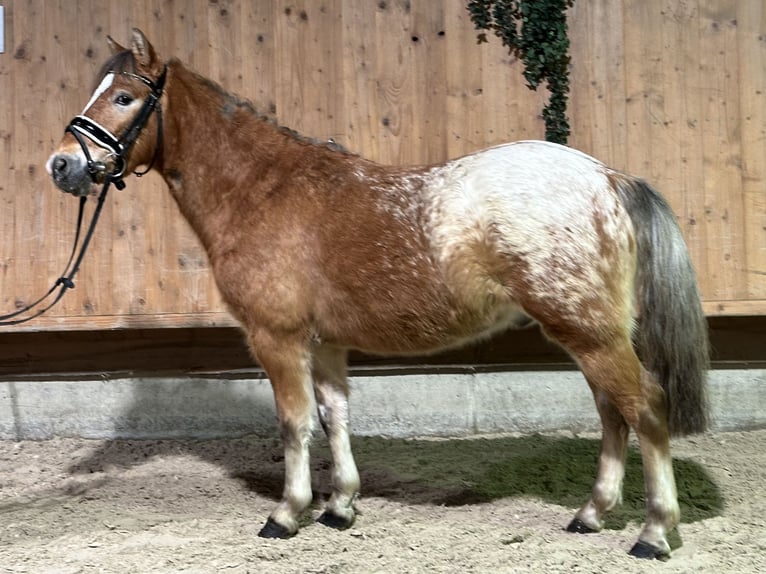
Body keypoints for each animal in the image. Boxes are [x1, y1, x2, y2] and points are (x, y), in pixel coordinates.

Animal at [46, 29, 708, 560]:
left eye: (124, 97)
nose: (61, 165)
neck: (262, 191)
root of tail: (606, 177)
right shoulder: (326, 343)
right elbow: (334, 416)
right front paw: (339, 506)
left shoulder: (277, 338)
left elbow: (293, 423)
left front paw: (287, 513)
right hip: (589, 334)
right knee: (612, 414)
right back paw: (590, 514)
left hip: (591, 333)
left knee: (645, 409)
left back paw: (653, 533)